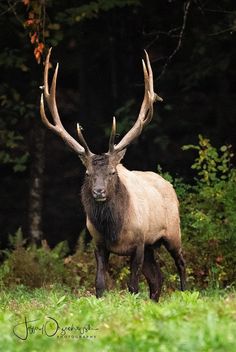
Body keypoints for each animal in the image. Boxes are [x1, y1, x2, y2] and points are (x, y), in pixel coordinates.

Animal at [39, 48, 185, 302]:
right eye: (87, 173)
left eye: (112, 171)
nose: (99, 192)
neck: (114, 230)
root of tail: (167, 183)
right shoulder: (98, 243)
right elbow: (99, 284)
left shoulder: (139, 241)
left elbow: (133, 285)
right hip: (152, 246)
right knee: (157, 278)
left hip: (172, 231)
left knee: (181, 263)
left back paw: (187, 292)